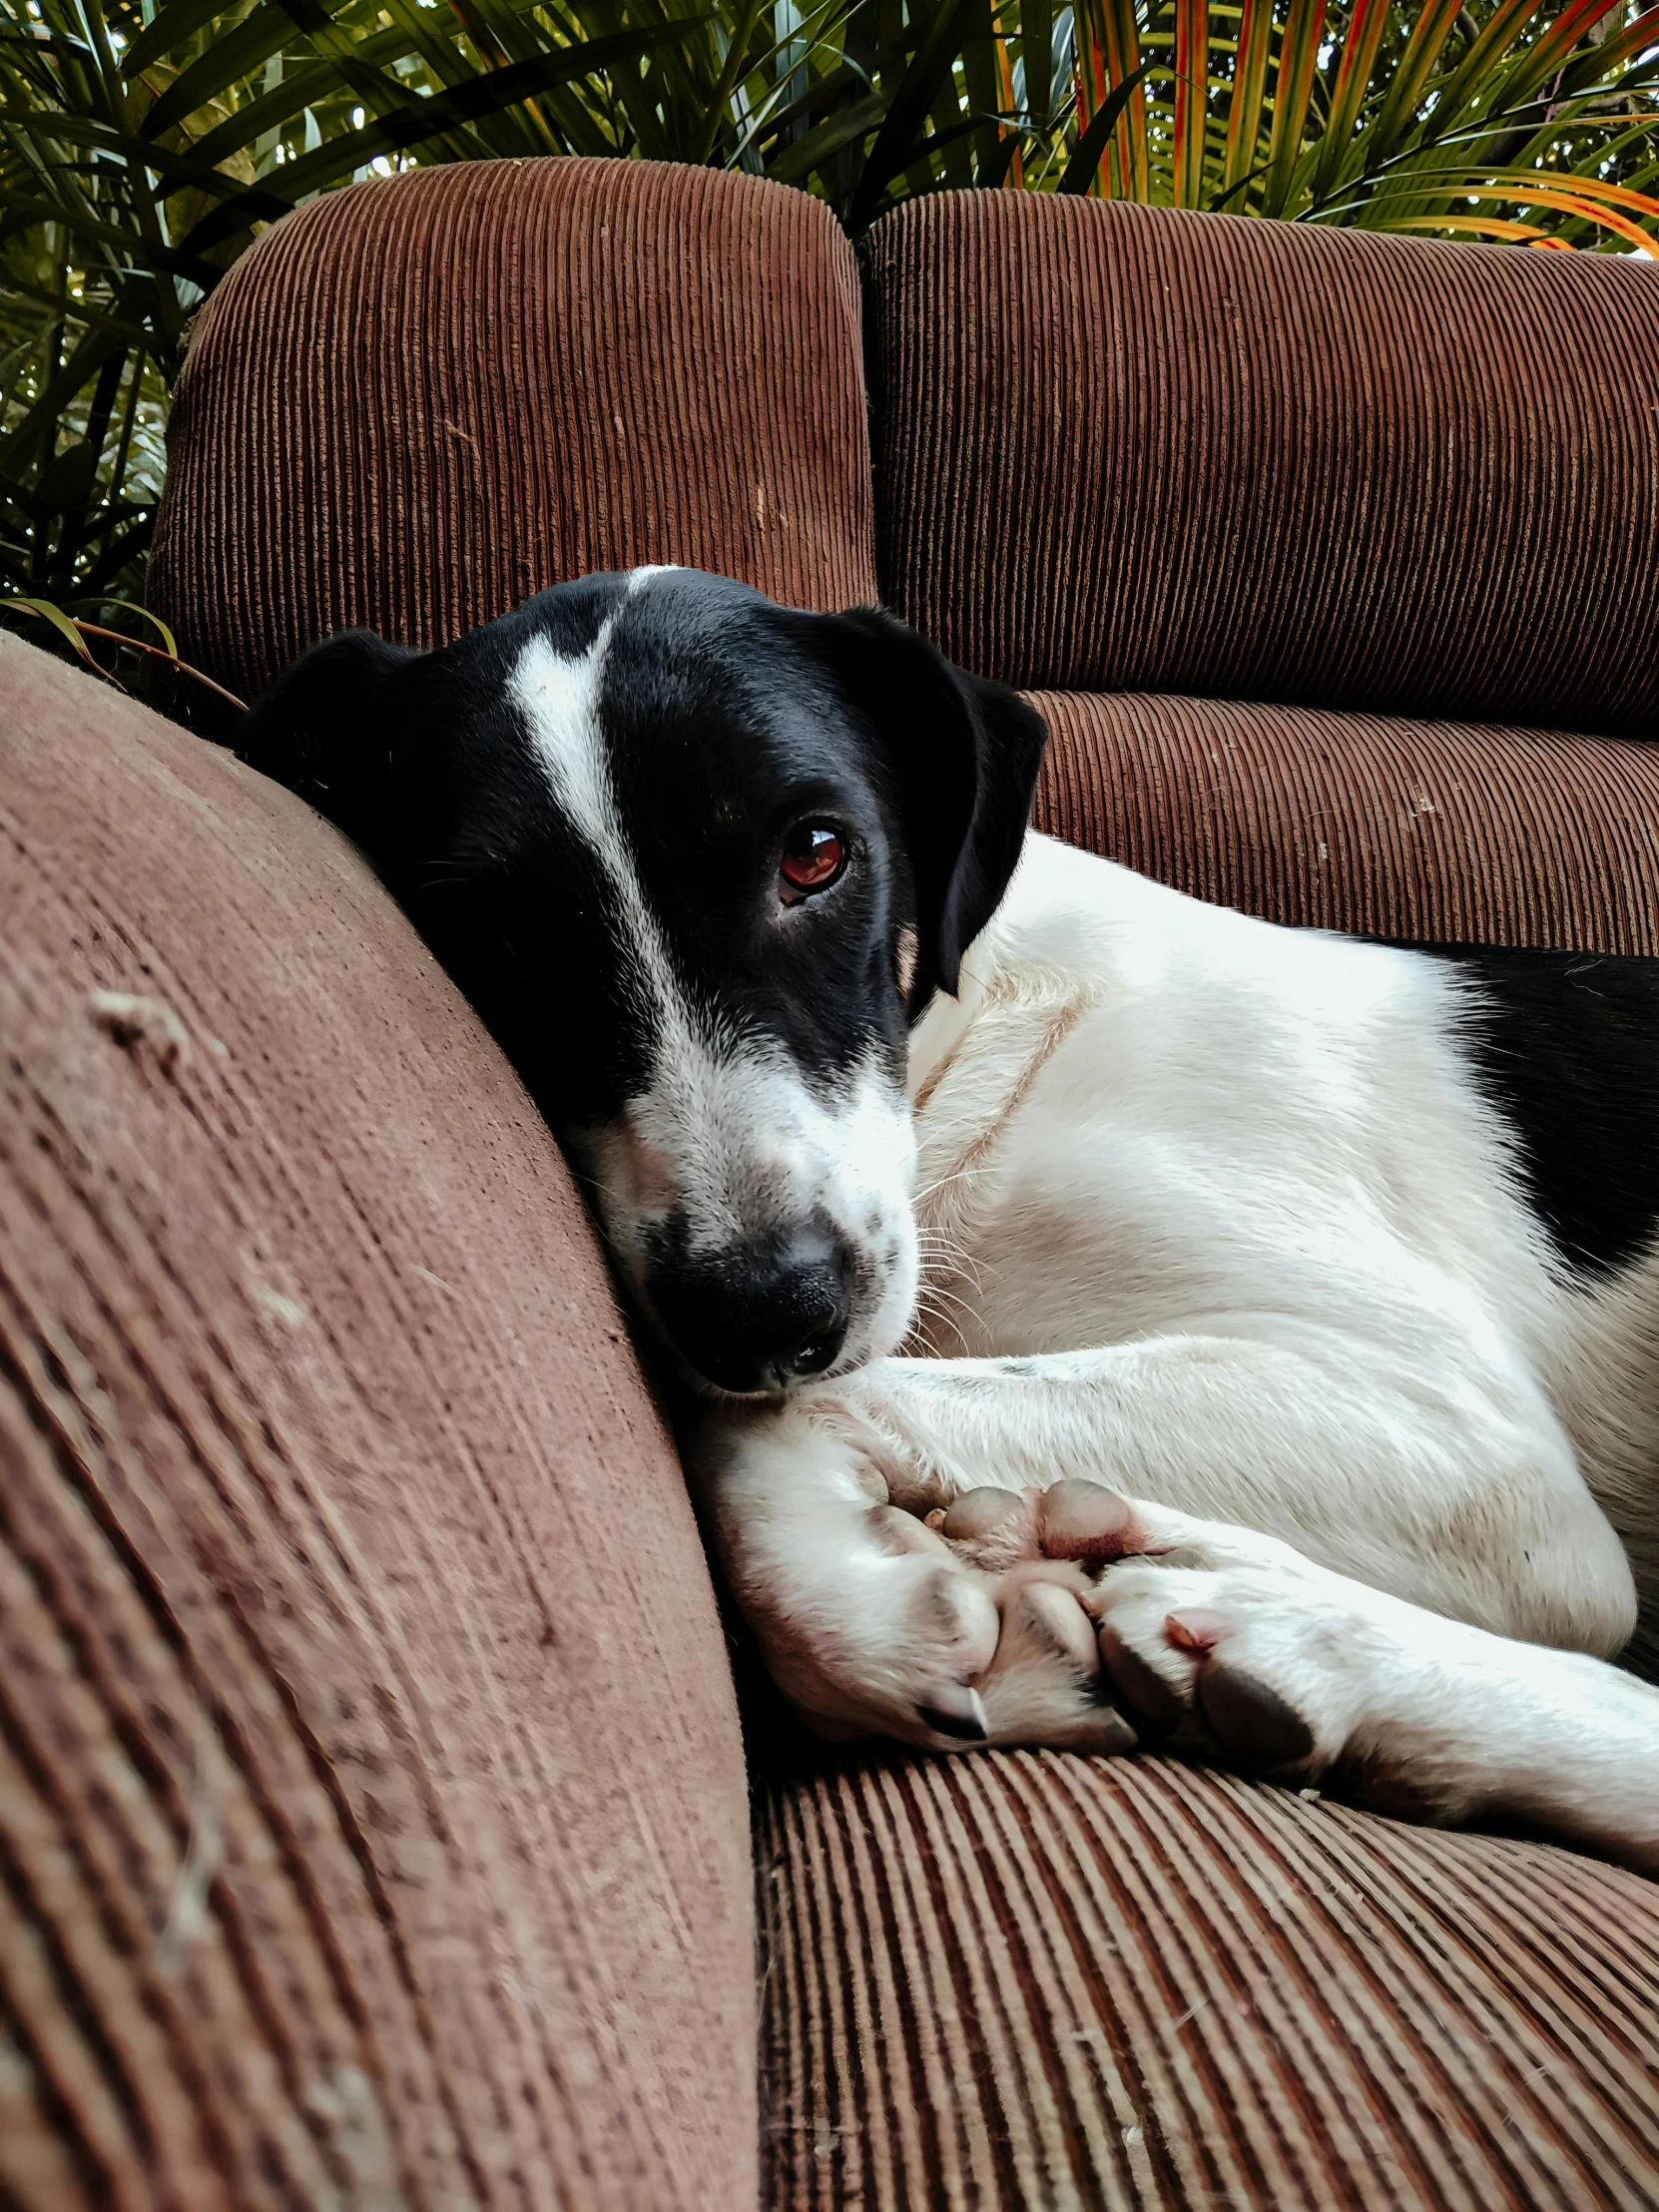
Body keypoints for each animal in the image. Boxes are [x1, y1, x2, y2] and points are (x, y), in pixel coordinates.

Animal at [243, 566, 1659, 1867]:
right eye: (489, 935)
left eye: (816, 853)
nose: (764, 1310)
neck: (981, 1061)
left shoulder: (1470, 1446)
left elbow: (778, 1411)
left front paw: (858, 1601)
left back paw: (1288, 1631)